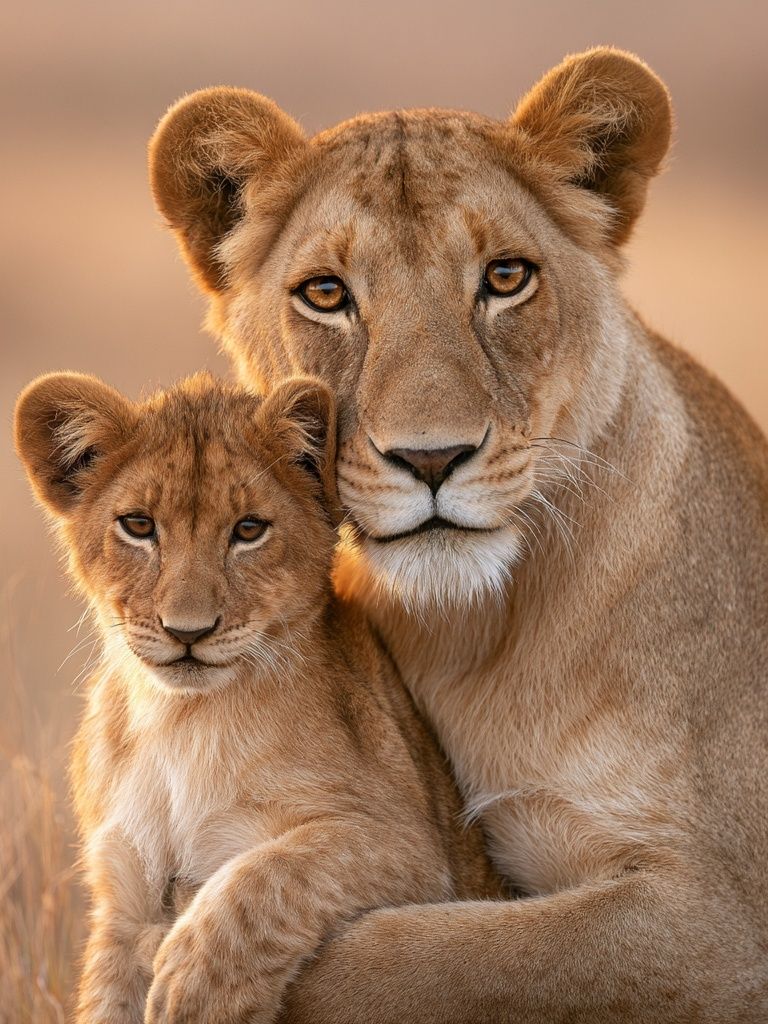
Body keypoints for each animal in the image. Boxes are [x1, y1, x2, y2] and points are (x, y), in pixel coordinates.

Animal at [14, 371, 500, 1024]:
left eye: (248, 530)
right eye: (138, 526)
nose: (187, 631)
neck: (178, 721)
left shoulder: (411, 847)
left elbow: (273, 873)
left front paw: (195, 985)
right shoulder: (122, 902)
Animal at [148, 47, 768, 1021]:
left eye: (506, 278)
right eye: (326, 294)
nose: (432, 458)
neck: (476, 637)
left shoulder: (726, 922)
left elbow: (451, 954)